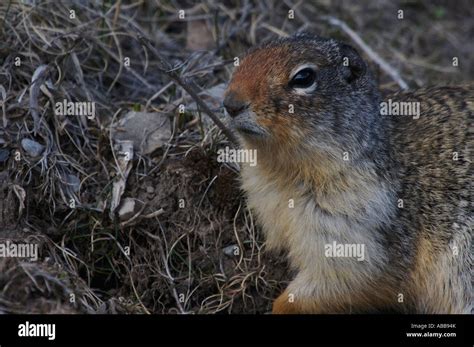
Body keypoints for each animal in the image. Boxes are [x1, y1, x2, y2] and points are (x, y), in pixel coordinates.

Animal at [223, 33, 474, 316]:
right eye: (245, 58)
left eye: (303, 77)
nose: (230, 104)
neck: (283, 174)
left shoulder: (354, 228)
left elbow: (346, 279)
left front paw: (279, 306)